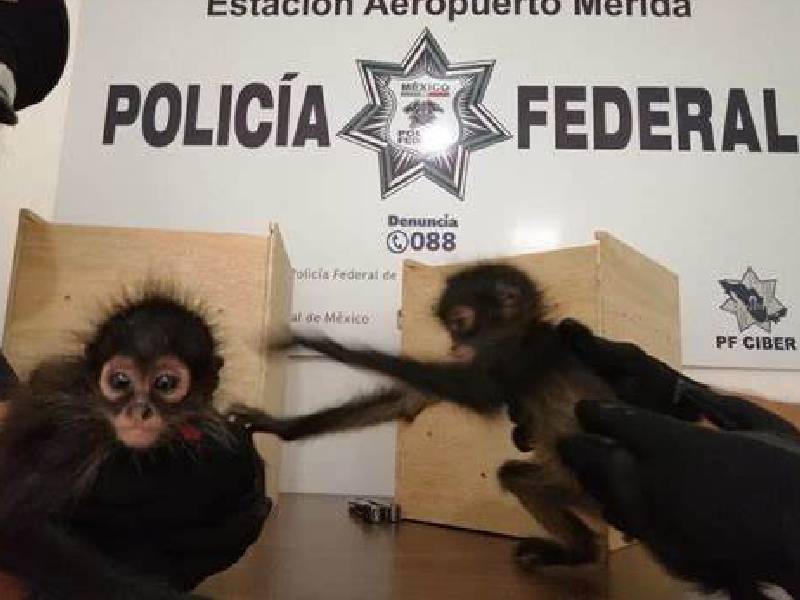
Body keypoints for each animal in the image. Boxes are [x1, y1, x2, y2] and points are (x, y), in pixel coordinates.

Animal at [229, 263, 618, 570]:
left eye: (461, 323)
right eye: (449, 329)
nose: (454, 347)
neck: (522, 334)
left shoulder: (523, 355)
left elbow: (476, 392)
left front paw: (323, 345)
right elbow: (406, 402)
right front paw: (278, 425)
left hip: (586, 486)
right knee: (515, 476)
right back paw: (578, 553)